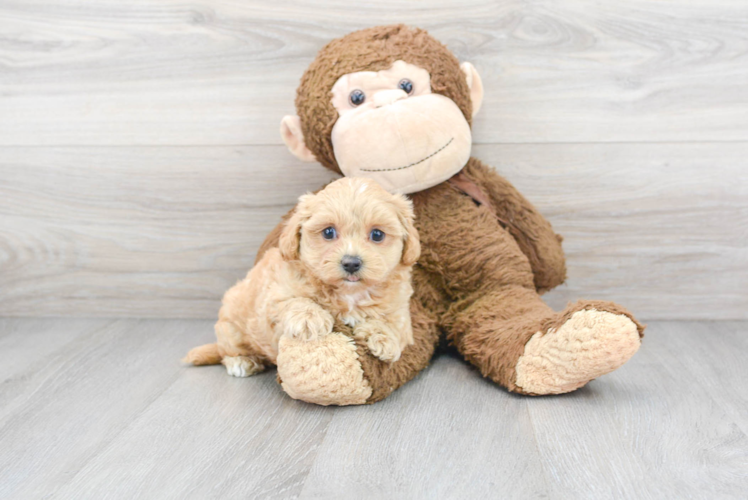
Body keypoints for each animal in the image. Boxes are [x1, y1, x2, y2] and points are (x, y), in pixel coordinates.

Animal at [183, 178, 420, 376]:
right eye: (328, 232)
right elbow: (293, 301)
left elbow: (394, 325)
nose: (351, 263)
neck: (349, 294)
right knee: (228, 350)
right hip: (231, 327)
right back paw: (241, 361)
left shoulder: (400, 310)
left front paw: (384, 337)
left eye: (377, 234)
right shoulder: (273, 296)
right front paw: (310, 318)